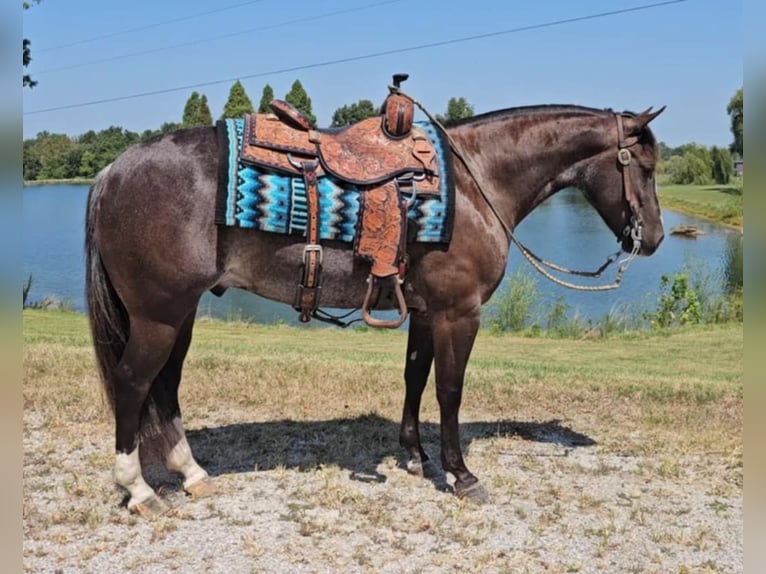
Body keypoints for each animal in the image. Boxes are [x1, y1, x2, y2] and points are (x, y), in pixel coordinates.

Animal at [85, 102, 665, 514]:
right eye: (647, 167)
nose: (655, 238)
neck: (477, 182)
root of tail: (112, 170)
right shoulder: (459, 313)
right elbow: (450, 391)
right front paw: (461, 475)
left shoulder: (427, 312)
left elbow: (415, 379)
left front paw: (415, 457)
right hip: (159, 316)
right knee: (135, 383)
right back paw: (139, 490)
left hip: (178, 315)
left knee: (165, 387)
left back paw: (192, 474)